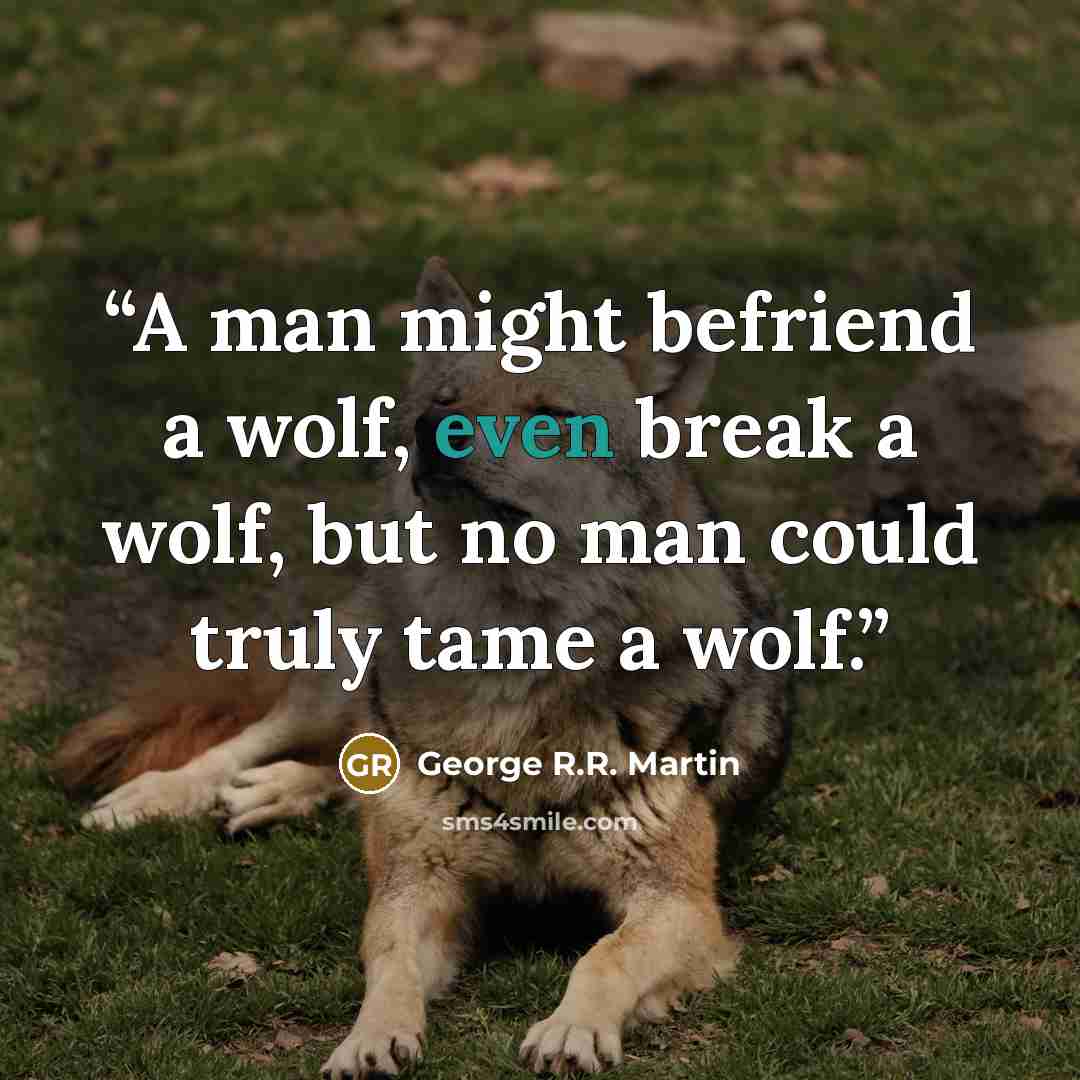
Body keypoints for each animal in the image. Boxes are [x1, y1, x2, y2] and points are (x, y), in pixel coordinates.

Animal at [55, 258, 792, 1078]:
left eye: (552, 417)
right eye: (446, 398)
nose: (437, 430)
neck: (511, 657)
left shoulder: (678, 902)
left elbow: (604, 956)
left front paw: (572, 1028)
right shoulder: (416, 887)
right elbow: (390, 966)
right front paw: (370, 1038)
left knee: (346, 769)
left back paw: (280, 793)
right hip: (344, 664)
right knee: (265, 740)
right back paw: (159, 796)